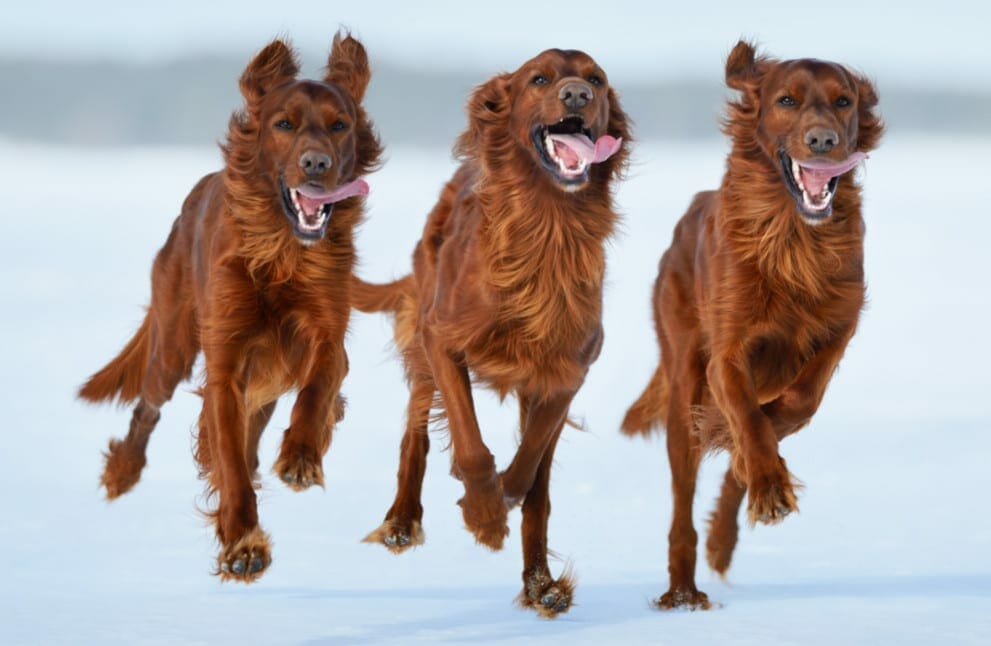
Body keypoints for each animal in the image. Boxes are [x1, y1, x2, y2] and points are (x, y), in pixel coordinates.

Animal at [78, 33, 384, 584]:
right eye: (283, 124)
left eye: (339, 125)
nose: (317, 165)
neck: (281, 252)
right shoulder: (225, 365)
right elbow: (230, 463)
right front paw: (243, 541)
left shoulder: (327, 333)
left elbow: (318, 385)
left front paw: (302, 453)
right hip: (174, 343)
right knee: (148, 407)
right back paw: (121, 472)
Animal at [354, 49, 628, 616]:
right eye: (539, 79)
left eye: (596, 80)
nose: (577, 95)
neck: (548, 225)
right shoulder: (442, 340)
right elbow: (471, 447)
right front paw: (483, 515)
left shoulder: (565, 373)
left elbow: (529, 472)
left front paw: (504, 506)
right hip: (423, 343)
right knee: (414, 435)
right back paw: (401, 521)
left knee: (539, 485)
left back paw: (541, 584)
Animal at [620, 41, 884, 612]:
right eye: (786, 100)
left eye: (844, 101)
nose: (823, 140)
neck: (793, 236)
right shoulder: (727, 352)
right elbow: (746, 417)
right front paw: (766, 479)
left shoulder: (839, 326)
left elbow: (794, 405)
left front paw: (764, 471)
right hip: (683, 384)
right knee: (683, 504)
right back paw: (683, 589)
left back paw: (727, 531)